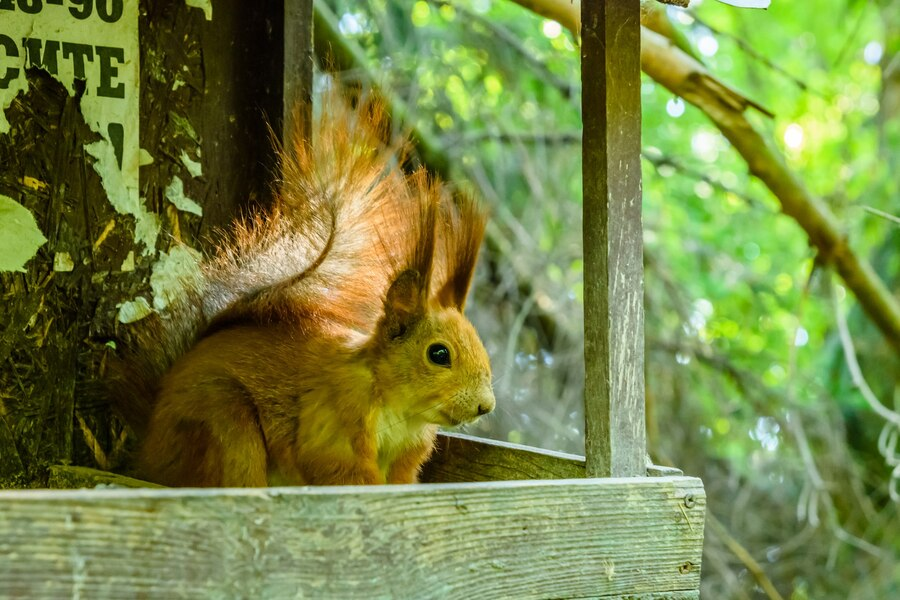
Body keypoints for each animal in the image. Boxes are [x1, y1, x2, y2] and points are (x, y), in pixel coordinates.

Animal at [115, 95, 496, 488]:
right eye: (439, 354)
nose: (485, 406)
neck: (400, 409)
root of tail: (150, 447)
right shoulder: (336, 416)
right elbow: (338, 467)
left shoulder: (406, 456)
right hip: (224, 423)